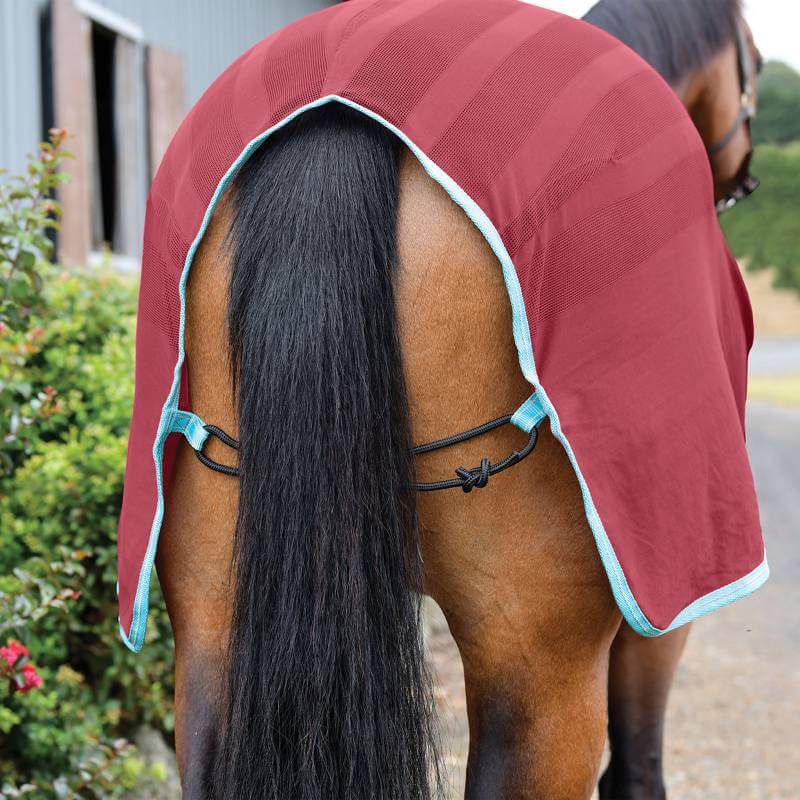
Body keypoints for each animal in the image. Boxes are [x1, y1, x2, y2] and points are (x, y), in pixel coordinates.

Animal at [140, 2, 763, 798]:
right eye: (754, 59)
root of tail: (335, 120)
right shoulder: (664, 609)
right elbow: (640, 764)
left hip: (211, 627)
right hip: (538, 670)